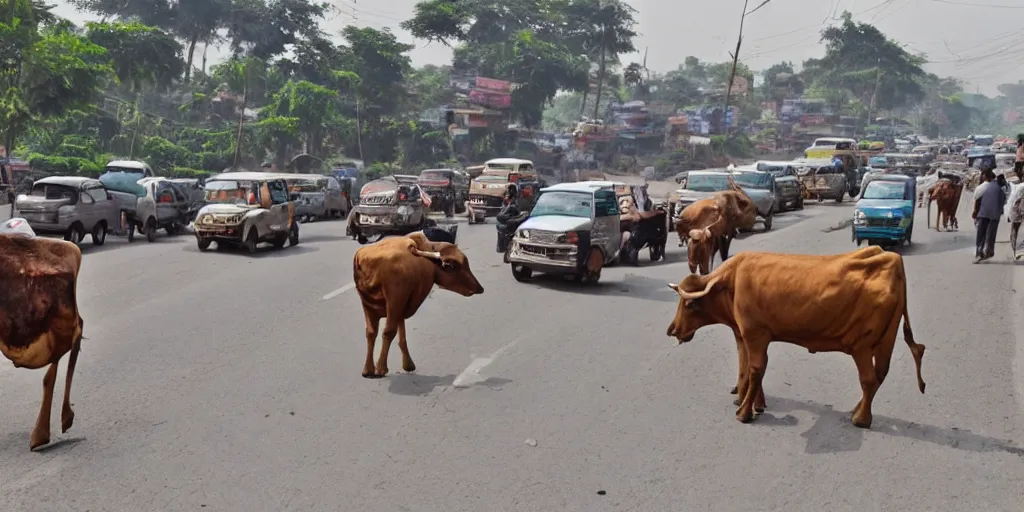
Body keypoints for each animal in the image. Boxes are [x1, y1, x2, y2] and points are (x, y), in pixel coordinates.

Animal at [352, 232, 483, 376]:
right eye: (451, 266)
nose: (479, 288)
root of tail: (365, 259)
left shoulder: (401, 304)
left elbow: (400, 333)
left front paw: (408, 364)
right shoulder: (398, 300)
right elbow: (393, 331)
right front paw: (403, 365)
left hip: (368, 304)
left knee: (371, 332)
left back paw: (368, 370)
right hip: (392, 301)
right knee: (387, 331)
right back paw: (381, 369)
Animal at [663, 246, 929, 428]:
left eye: (689, 305)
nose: (672, 330)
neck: (732, 282)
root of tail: (890, 260)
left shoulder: (755, 333)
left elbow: (756, 369)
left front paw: (745, 412)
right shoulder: (746, 334)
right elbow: (746, 366)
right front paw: (754, 403)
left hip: (861, 345)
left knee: (869, 380)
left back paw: (861, 419)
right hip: (886, 339)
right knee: (880, 374)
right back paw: (857, 410)